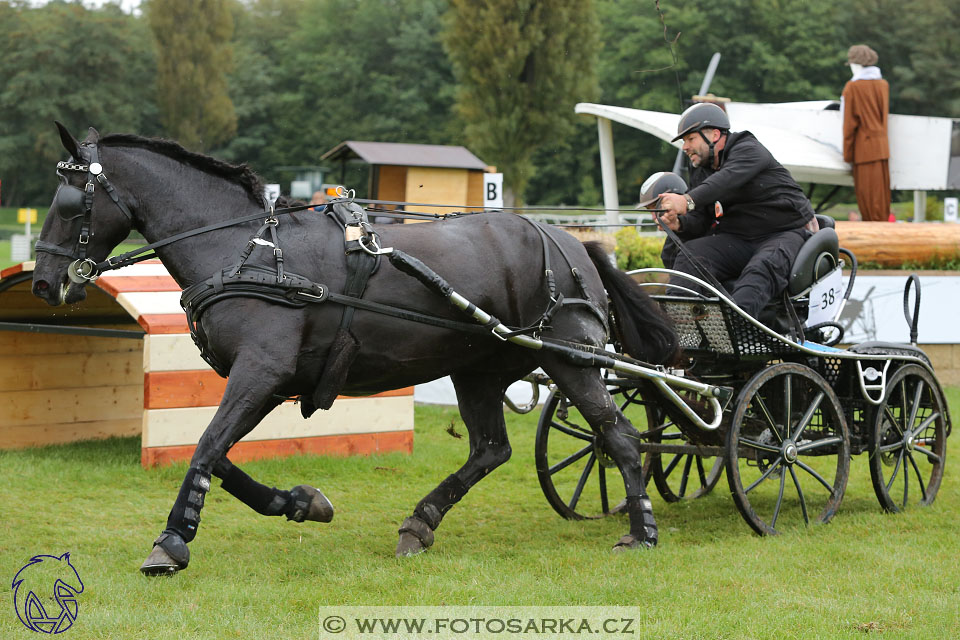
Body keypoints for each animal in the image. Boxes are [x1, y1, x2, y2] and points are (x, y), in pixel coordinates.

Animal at [33, 124, 680, 576]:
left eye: (68, 202)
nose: (43, 282)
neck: (248, 250)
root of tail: (569, 240)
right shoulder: (265, 381)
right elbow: (219, 456)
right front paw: (299, 502)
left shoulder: (261, 371)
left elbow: (208, 447)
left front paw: (172, 539)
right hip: (479, 368)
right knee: (492, 449)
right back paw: (420, 523)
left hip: (570, 358)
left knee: (620, 437)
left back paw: (642, 530)